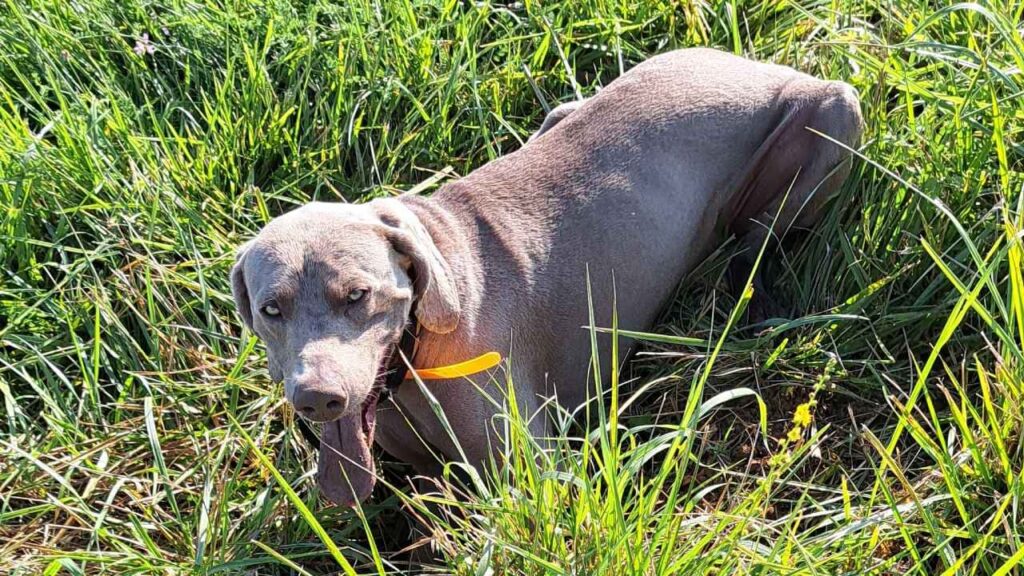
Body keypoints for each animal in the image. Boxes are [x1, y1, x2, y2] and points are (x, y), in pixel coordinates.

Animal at [232, 50, 864, 506]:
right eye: (271, 310)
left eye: (358, 295)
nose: (317, 399)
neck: (419, 355)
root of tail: (753, 62)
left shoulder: (538, 471)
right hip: (562, 112)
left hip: (833, 111)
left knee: (756, 245)